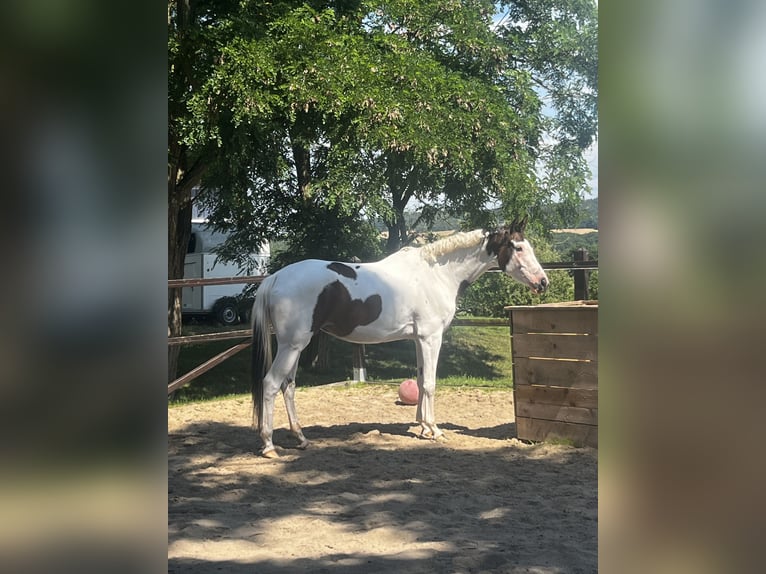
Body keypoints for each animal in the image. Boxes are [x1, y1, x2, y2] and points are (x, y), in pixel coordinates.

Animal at [250, 219, 549, 457]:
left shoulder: (418, 339)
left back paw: (301, 438)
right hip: (292, 345)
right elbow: (429, 384)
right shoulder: (431, 338)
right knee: (271, 383)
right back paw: (269, 446)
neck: (437, 274)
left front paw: (423, 427)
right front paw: (435, 430)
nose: (543, 282)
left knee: (288, 386)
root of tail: (275, 278)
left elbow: (420, 378)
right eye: (518, 248)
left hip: (296, 346)